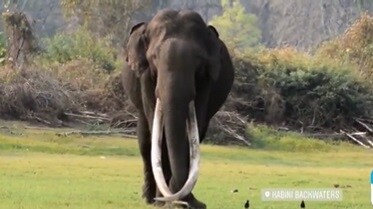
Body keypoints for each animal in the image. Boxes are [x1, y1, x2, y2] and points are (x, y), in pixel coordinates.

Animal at [121, 9, 232, 208]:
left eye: (198, 60)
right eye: (154, 57)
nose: (181, 201)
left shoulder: (206, 79)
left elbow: (195, 128)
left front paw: (189, 202)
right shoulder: (145, 75)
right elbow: (158, 128)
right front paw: (163, 202)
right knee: (145, 141)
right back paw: (150, 198)